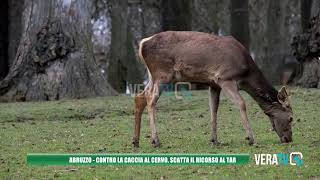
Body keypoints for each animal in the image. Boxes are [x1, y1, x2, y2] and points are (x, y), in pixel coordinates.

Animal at [132, 31, 292, 147]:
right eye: (291, 118)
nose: (289, 139)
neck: (246, 74)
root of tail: (142, 44)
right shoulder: (225, 78)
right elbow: (241, 103)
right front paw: (251, 138)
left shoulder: (213, 84)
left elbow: (213, 109)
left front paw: (214, 140)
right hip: (162, 74)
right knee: (150, 99)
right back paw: (155, 140)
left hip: (153, 75)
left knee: (140, 96)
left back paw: (136, 140)